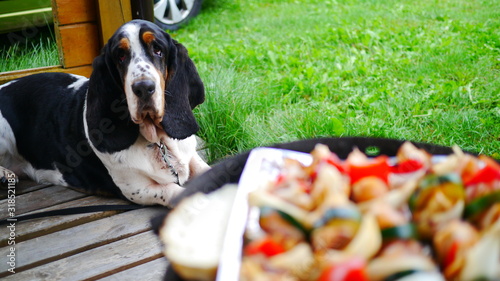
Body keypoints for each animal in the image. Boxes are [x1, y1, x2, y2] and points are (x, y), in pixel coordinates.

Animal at [0, 19, 209, 207]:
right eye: (120, 56)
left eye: (158, 50)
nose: (143, 88)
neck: (158, 142)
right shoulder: (137, 189)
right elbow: (174, 191)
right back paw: (5, 174)